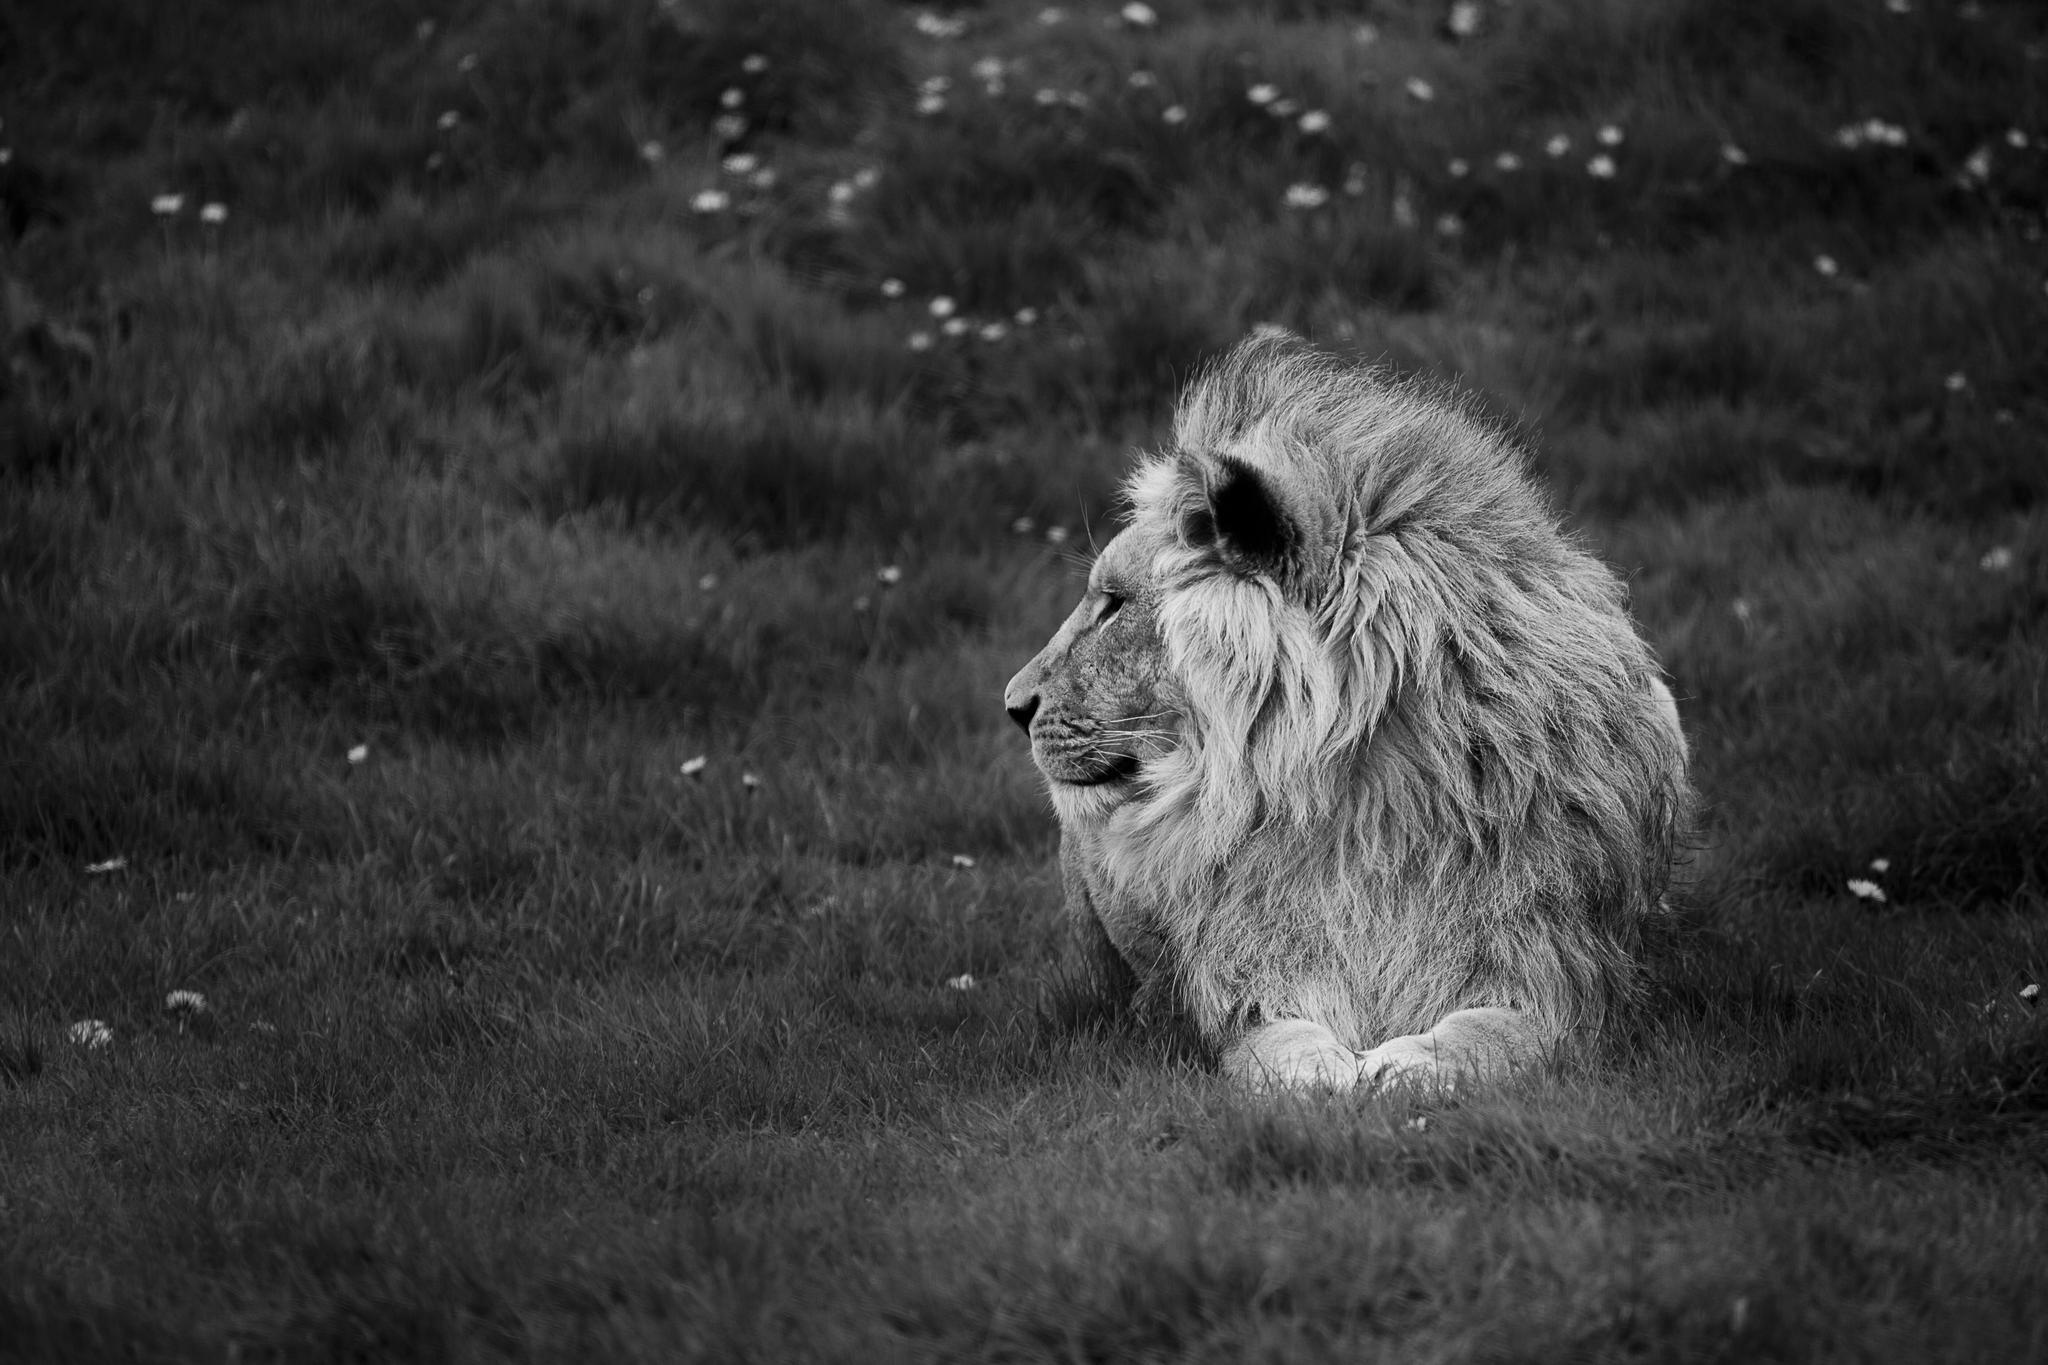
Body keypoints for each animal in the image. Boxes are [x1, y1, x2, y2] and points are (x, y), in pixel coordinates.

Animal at [1003, 332, 1692, 1092]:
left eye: (1114, 604)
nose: (1013, 705)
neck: (1365, 800)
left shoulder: (1567, 970)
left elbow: (1503, 1036)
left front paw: (1411, 1063)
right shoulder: (1239, 987)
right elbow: (1272, 1040)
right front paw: (1321, 1073)